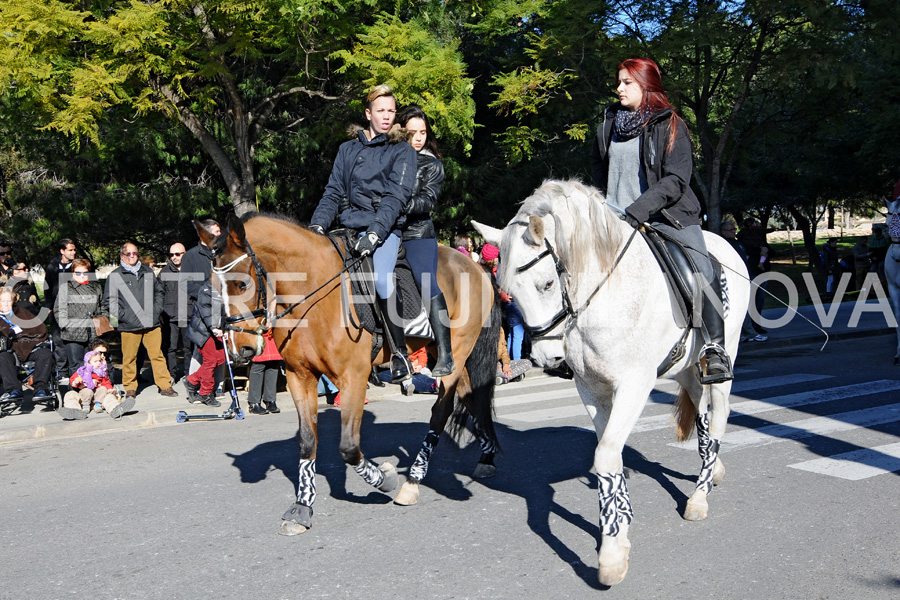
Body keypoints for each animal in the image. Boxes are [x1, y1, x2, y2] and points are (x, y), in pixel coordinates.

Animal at [199, 216, 500, 536]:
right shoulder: (299, 376)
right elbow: (307, 440)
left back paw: (413, 481)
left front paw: (385, 478)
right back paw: (487, 456)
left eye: (242, 283)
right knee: (472, 397)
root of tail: (475, 266)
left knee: (442, 411)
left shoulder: (353, 376)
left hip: (456, 354)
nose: (238, 349)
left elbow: (348, 447)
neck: (313, 293)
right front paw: (302, 507)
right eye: (212, 287)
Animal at [474, 179, 748, 584]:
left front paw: (612, 554)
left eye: (546, 284)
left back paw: (699, 497)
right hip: (685, 365)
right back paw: (712, 470)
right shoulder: (591, 388)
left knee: (718, 416)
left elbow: (605, 455)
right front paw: (618, 525)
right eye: (507, 292)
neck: (601, 296)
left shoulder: (634, 385)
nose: (546, 359)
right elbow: (609, 453)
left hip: (725, 354)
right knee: (700, 410)